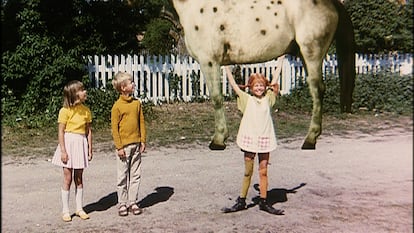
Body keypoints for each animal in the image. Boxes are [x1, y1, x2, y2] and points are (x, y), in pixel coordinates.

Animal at [171, 0, 356, 149]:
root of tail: (332, 4)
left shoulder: (209, 61)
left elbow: (216, 99)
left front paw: (218, 141)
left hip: (312, 53)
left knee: (317, 90)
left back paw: (310, 140)